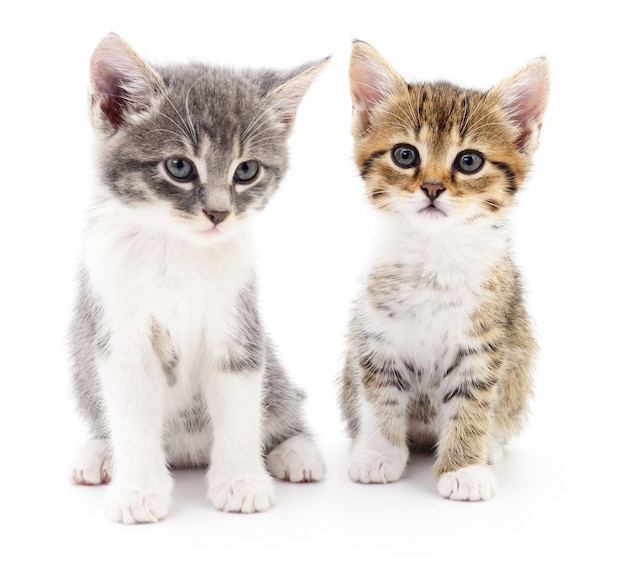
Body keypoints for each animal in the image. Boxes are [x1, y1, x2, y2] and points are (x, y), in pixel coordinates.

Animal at [70, 33, 326, 520]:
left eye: (246, 170)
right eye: (180, 167)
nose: (219, 213)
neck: (178, 251)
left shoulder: (238, 322)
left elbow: (240, 404)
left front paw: (241, 481)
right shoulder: (119, 325)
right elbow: (130, 414)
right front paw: (138, 490)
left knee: (284, 404)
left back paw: (295, 451)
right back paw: (99, 453)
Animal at [338, 42, 548, 500]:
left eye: (469, 161)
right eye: (405, 155)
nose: (432, 188)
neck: (434, 254)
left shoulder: (483, 340)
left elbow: (471, 405)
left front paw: (464, 468)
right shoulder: (377, 332)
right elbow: (380, 395)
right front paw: (379, 453)